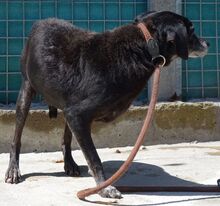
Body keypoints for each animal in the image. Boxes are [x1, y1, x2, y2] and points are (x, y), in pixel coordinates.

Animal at [4, 11, 208, 198]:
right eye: (192, 30)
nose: (208, 43)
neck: (141, 46)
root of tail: (42, 21)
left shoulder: (74, 114)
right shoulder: (77, 115)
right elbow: (94, 157)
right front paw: (104, 188)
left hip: (66, 103)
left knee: (66, 139)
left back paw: (69, 163)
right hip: (27, 89)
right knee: (17, 137)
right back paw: (13, 168)